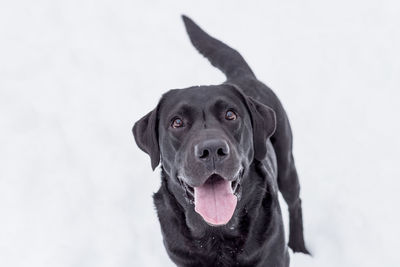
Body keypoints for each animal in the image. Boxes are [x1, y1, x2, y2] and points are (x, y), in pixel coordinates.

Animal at [134, 15, 310, 266]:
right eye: (177, 122)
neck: (217, 232)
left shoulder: (275, 255)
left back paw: (300, 248)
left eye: (230, 115)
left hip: (287, 163)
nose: (212, 149)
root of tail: (241, 75)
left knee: (295, 202)